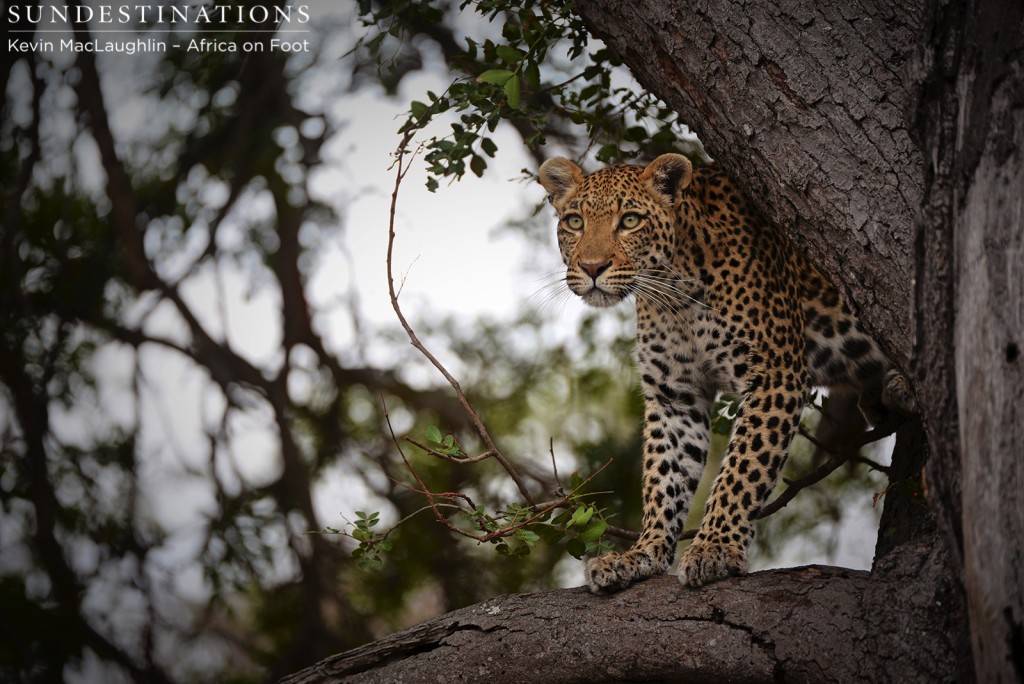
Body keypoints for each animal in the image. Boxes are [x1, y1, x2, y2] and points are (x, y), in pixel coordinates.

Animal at [536, 152, 913, 589]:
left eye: (629, 220)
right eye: (574, 222)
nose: (592, 266)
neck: (674, 296)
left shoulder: (775, 374)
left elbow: (743, 468)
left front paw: (714, 547)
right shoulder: (675, 396)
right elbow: (664, 478)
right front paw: (641, 555)